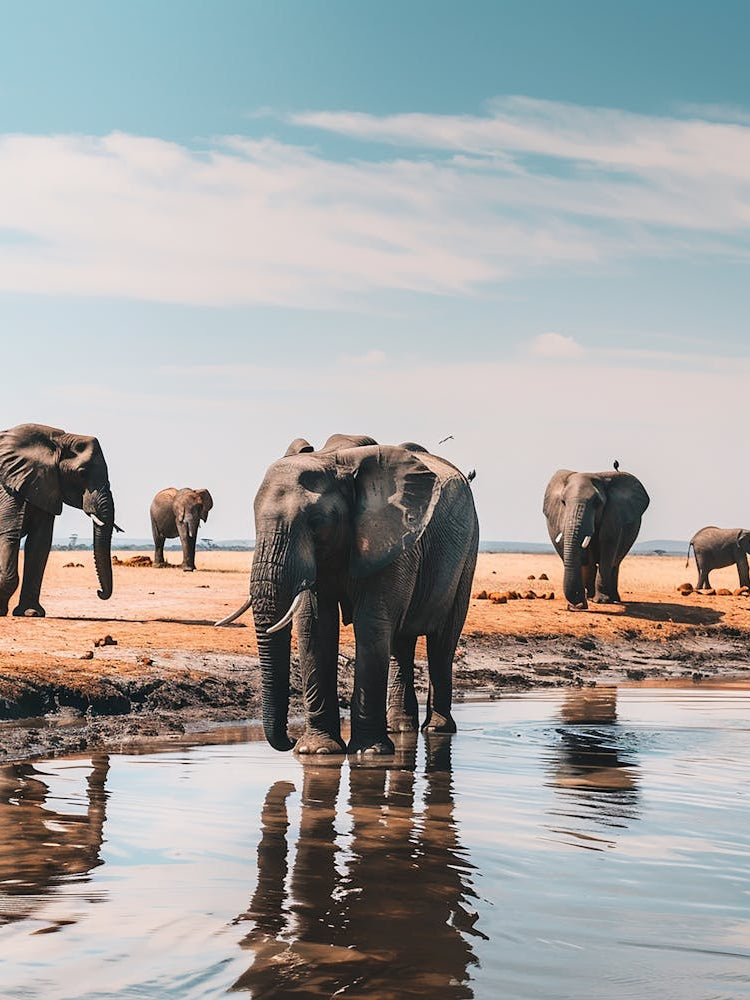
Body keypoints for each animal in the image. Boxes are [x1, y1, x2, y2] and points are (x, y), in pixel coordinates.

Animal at [0, 423, 117, 617]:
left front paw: (32, 613)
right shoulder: (9, 487)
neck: (56, 440)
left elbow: (39, 543)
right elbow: (10, 534)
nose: (99, 592)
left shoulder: (46, 485)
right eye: (82, 473)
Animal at [217, 433, 479, 756]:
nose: (289, 740)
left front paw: (369, 753)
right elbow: (315, 626)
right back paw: (400, 728)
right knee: (401, 643)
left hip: (468, 551)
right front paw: (316, 750)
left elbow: (371, 624)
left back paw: (436, 730)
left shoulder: (390, 537)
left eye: (317, 523)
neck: (333, 459)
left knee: (442, 642)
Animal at [543, 468, 649, 611]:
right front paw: (586, 600)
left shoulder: (613, 514)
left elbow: (607, 547)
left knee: (615, 563)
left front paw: (602, 601)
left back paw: (613, 599)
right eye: (563, 502)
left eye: (597, 503)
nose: (577, 605)